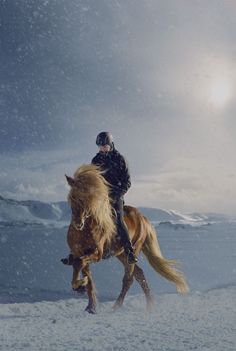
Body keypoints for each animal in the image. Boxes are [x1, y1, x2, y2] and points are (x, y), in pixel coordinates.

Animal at [63, 164, 189, 314]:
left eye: (87, 198)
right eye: (72, 197)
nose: (78, 223)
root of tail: (142, 218)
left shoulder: (96, 253)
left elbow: (80, 265)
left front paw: (81, 286)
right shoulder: (79, 253)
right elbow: (85, 275)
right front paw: (89, 304)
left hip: (133, 251)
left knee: (128, 279)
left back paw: (117, 306)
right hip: (121, 254)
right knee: (139, 274)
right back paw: (150, 304)